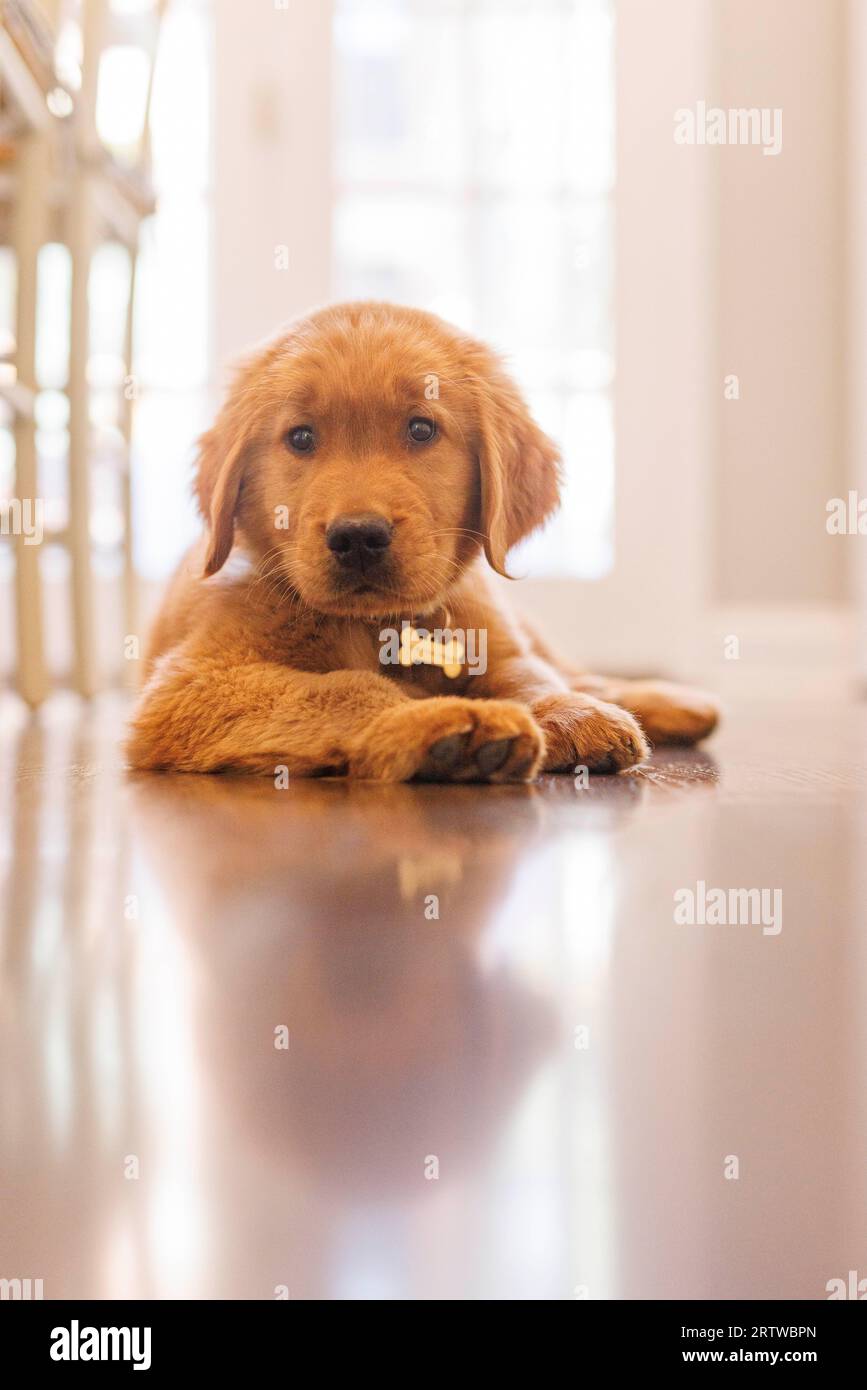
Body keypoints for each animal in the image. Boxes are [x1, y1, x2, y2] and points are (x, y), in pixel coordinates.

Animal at [127, 301, 711, 783]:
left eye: (421, 430)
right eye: (300, 438)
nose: (358, 537)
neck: (380, 626)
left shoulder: (494, 638)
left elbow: (528, 673)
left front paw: (569, 712)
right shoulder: (193, 686)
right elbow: (345, 689)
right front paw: (445, 723)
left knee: (574, 669)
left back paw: (668, 702)